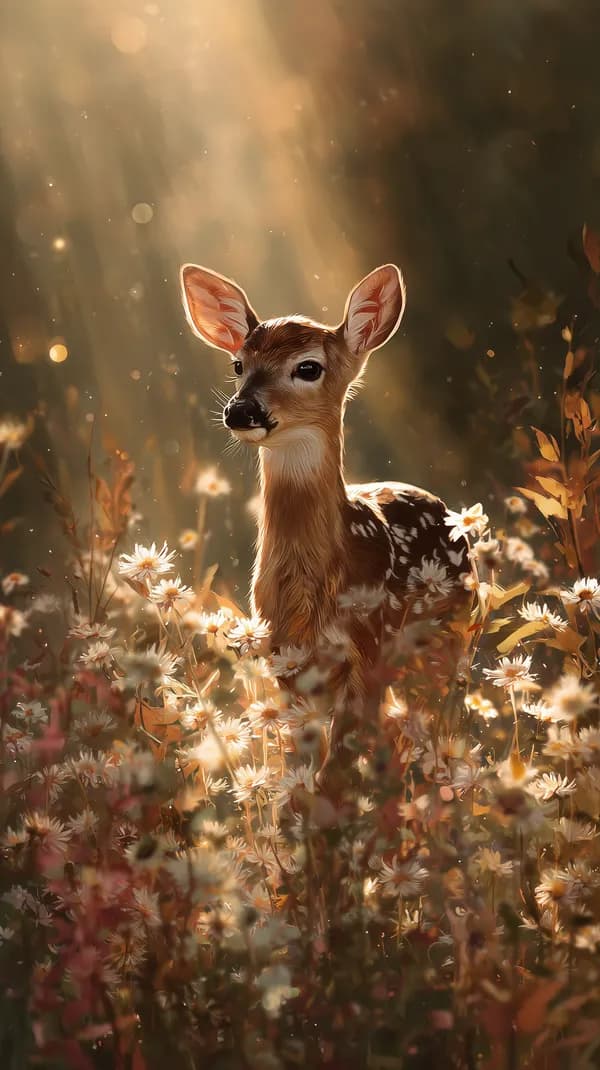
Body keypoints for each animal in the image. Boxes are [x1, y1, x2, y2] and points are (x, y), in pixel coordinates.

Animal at [180, 262, 472, 794]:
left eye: (308, 367)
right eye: (237, 364)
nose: (241, 410)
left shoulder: (367, 646)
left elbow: (337, 767)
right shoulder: (284, 655)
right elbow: (303, 767)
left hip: (448, 640)